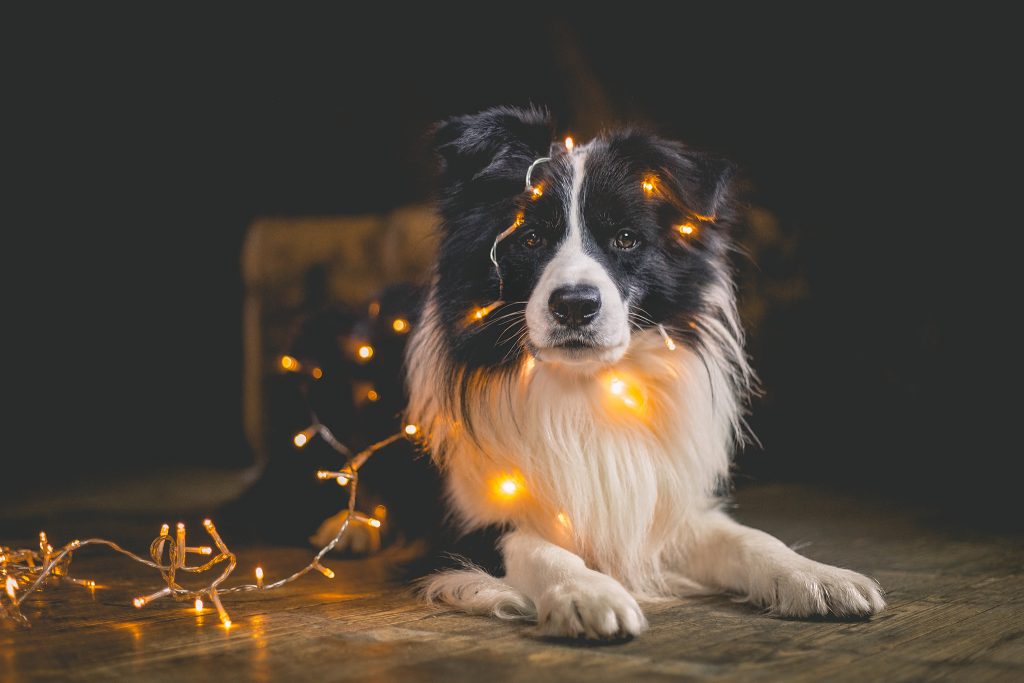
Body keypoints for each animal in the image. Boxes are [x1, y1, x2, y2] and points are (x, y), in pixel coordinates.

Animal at [403, 104, 884, 638]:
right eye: (529, 238)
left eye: (627, 239)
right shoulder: (464, 522)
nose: (575, 305)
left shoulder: (663, 508)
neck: (588, 390)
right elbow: (535, 546)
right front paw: (587, 593)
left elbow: (750, 538)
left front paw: (815, 576)